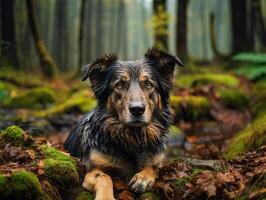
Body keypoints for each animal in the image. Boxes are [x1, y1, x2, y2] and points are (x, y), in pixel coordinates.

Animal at [64, 47, 184, 199]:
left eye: (148, 84)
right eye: (119, 85)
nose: (137, 109)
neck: (133, 138)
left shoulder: (157, 162)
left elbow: (151, 167)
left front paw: (142, 177)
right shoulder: (92, 170)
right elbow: (104, 177)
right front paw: (106, 197)